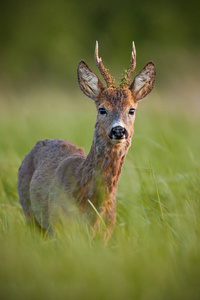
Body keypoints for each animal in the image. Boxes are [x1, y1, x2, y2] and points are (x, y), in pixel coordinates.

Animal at [17, 41, 156, 243]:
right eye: (102, 109)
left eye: (132, 110)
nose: (118, 130)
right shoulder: (59, 226)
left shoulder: (106, 233)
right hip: (28, 210)